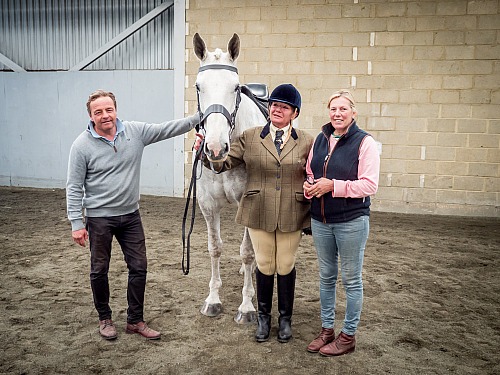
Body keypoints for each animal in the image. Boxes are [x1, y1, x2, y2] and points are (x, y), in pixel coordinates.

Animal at [192, 33, 270, 324]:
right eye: (198, 87)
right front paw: (213, 300)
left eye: (235, 87)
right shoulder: (207, 205)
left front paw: (247, 306)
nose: (216, 148)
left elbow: (247, 252)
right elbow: (215, 247)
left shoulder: (251, 201)